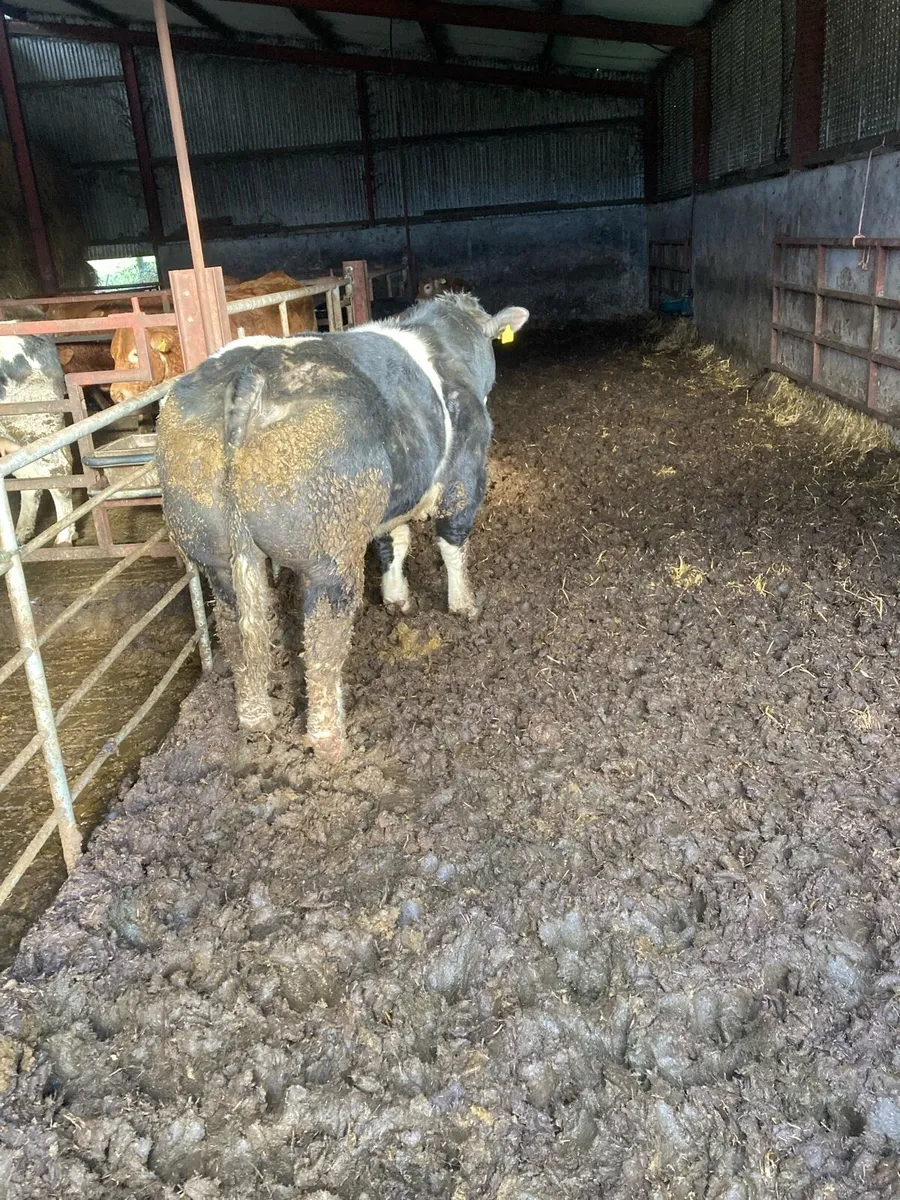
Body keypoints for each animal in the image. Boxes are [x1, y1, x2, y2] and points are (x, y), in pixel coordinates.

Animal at [156, 292, 529, 761]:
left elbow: (394, 543)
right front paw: (464, 605)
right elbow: (452, 544)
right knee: (323, 643)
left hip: (213, 554)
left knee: (236, 632)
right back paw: (330, 741)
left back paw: (255, 718)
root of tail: (251, 370)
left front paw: (397, 599)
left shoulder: (392, 501)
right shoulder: (465, 477)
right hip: (330, 557)